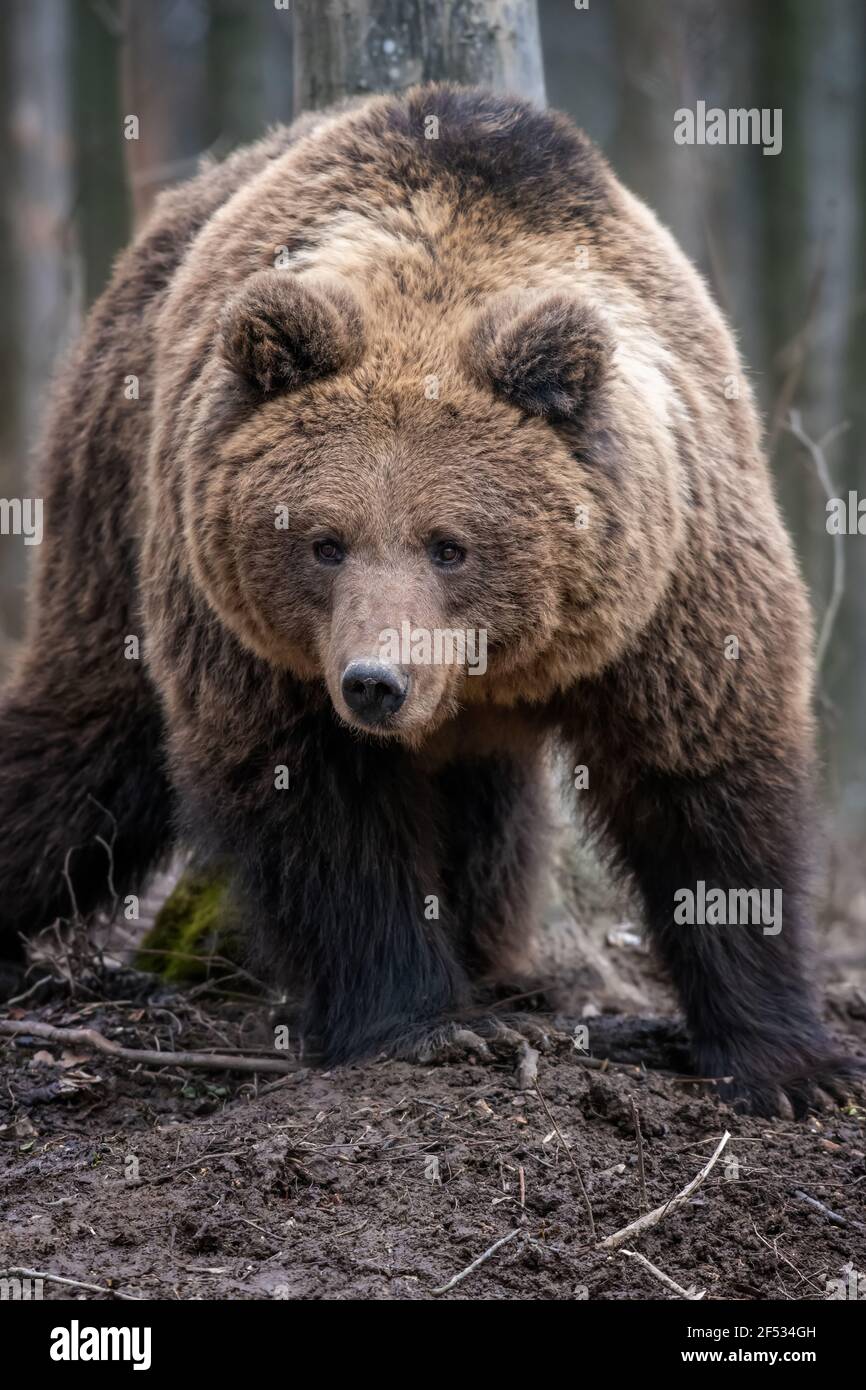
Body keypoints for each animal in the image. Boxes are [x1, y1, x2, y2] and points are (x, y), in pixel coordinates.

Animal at [0, 84, 850, 1115]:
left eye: (451, 545)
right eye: (324, 540)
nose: (376, 682)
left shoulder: (671, 589)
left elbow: (709, 787)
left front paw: (790, 1066)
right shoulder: (261, 646)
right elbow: (322, 815)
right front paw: (427, 1025)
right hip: (118, 499)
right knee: (85, 746)